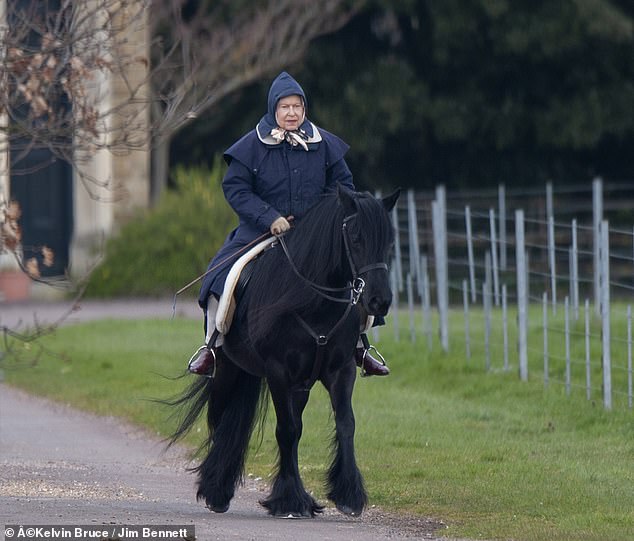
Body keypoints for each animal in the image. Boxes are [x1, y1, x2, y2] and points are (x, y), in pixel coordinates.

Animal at [170, 187, 398, 520]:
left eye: (389, 241)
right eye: (355, 238)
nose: (380, 301)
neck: (313, 302)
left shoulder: (341, 370)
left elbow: (345, 423)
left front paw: (348, 495)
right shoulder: (278, 372)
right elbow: (287, 430)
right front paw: (290, 500)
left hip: (299, 385)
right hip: (228, 370)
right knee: (219, 418)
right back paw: (217, 490)